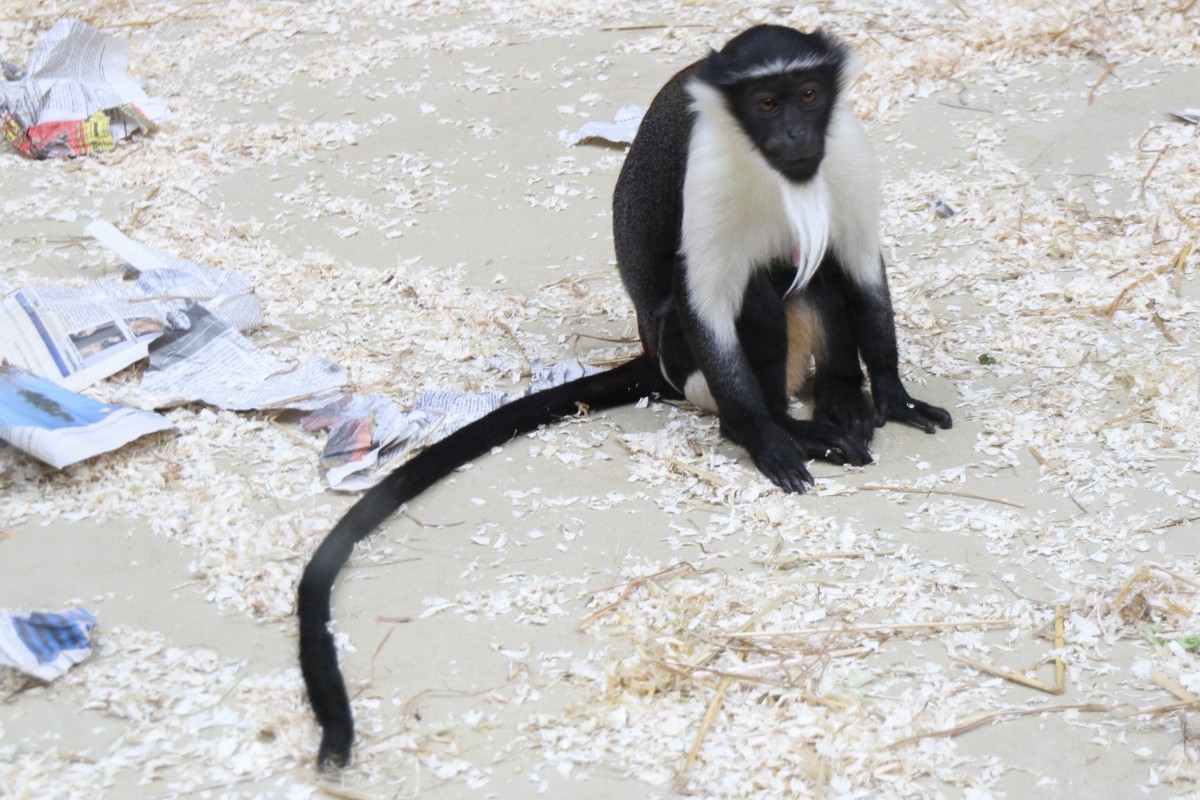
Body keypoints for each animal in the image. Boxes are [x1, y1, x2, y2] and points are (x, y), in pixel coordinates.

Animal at [302, 21, 955, 767]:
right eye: (766, 104)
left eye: (810, 95)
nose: (794, 134)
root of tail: (651, 355)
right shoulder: (711, 175)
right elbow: (712, 300)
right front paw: (768, 441)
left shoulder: (844, 151)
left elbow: (862, 267)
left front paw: (895, 398)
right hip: (683, 360)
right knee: (764, 285)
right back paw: (789, 426)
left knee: (815, 266)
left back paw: (842, 402)